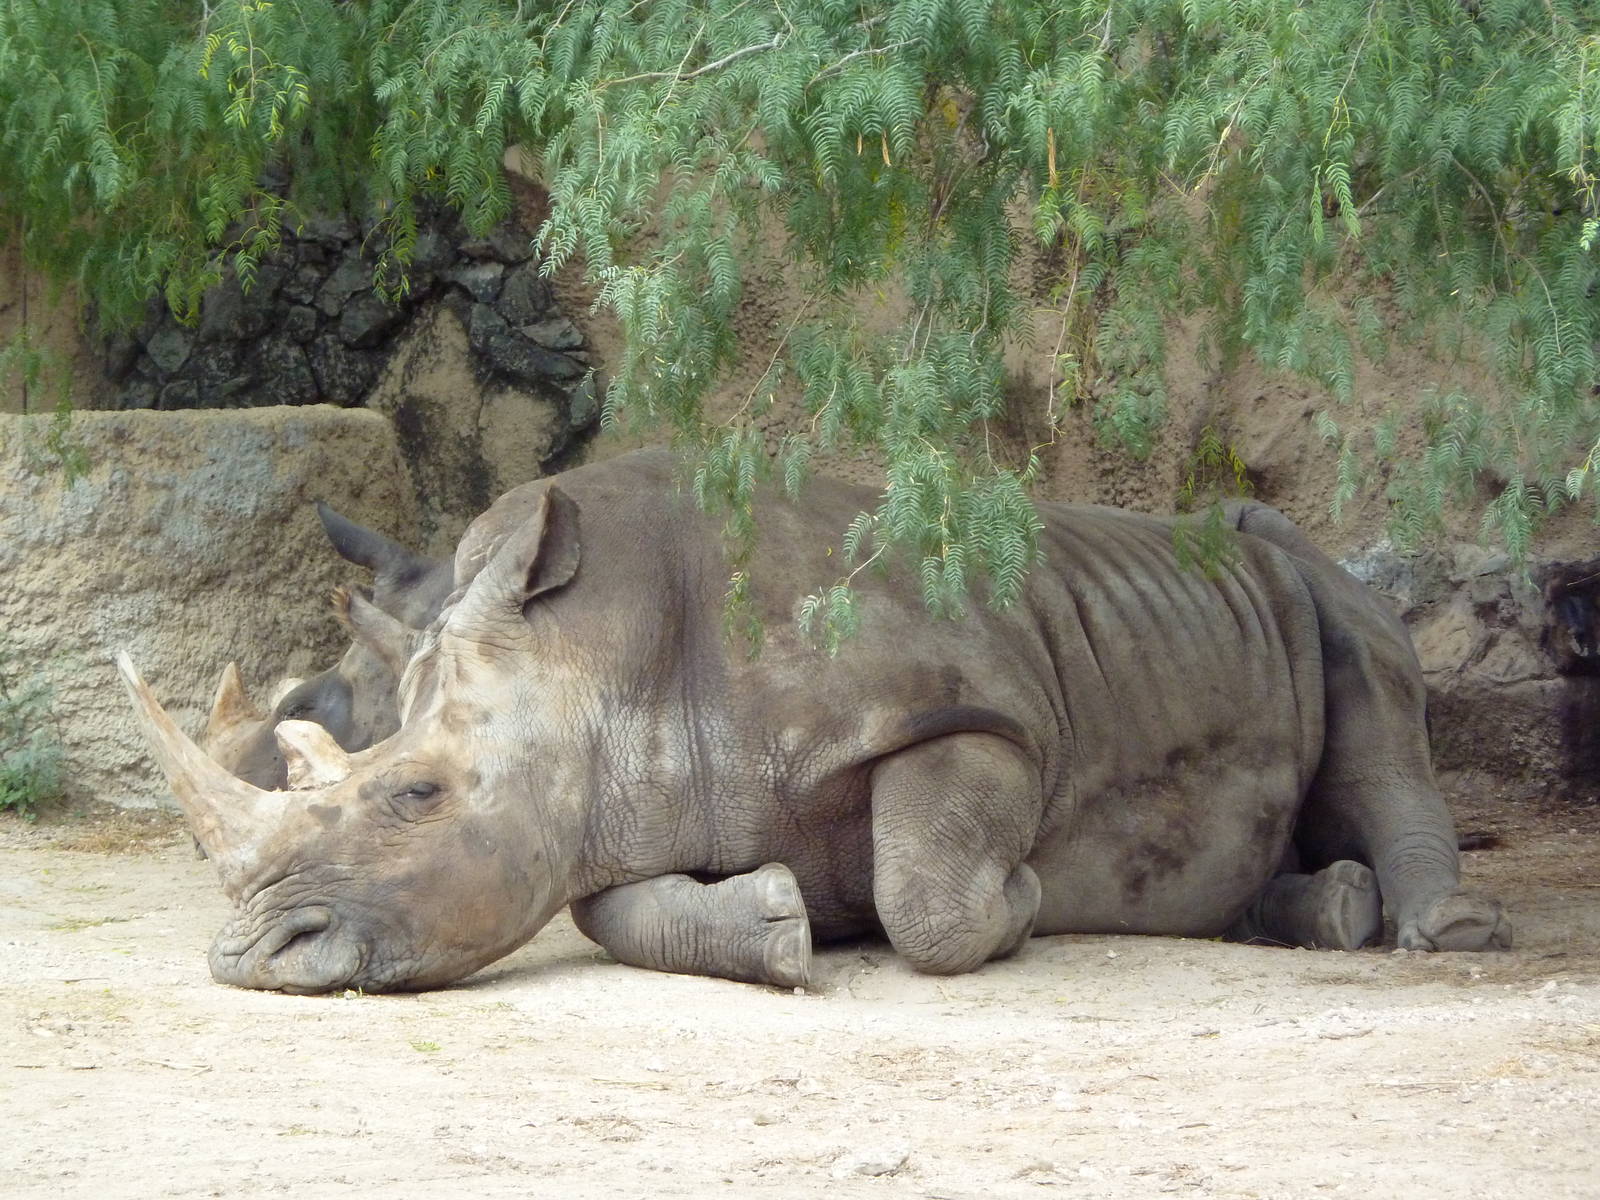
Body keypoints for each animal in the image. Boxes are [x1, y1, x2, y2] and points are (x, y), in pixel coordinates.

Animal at [120, 449, 1509, 994]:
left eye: (415, 794)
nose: (250, 958)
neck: (600, 655)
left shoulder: (974, 713)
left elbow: (927, 889)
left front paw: (1025, 899)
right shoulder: (617, 802)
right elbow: (611, 909)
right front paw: (787, 926)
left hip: (1305, 571)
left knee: (1370, 680)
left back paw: (1434, 933)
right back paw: (1317, 913)